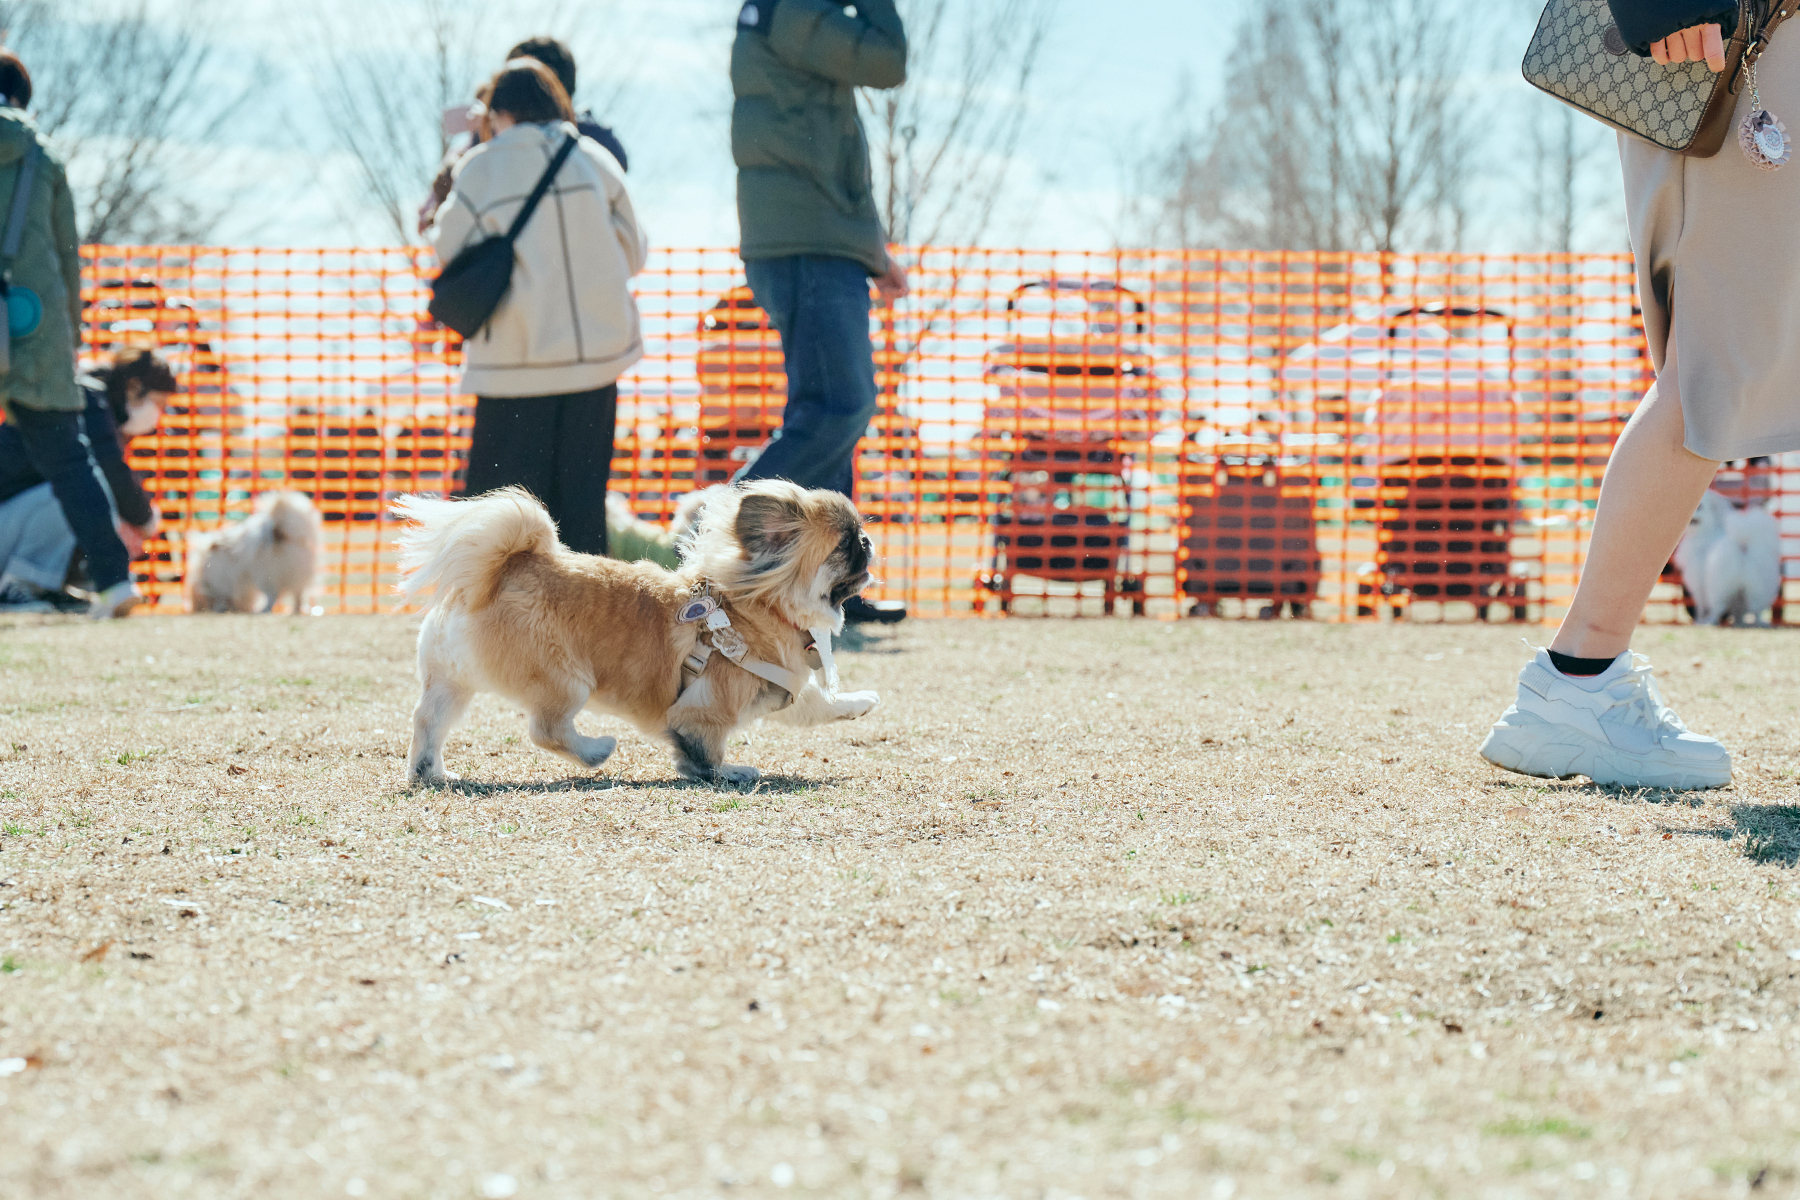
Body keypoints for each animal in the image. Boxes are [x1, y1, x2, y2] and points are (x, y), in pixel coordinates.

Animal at [186, 492, 324, 615]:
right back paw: (296, 610)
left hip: (263, 577)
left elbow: (223, 596)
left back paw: (263, 610)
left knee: (272, 596)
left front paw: (221, 607)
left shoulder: (226, 581)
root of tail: (281, 530)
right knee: (298, 595)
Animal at [394, 478, 878, 788]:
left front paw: (860, 703)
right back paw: (597, 751)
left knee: (427, 722)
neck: (759, 603)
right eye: (843, 544)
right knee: (545, 730)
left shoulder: (785, 687)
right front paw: (732, 772)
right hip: (566, 682)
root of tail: (500, 571)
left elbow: (818, 705)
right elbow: (705, 753)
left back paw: (431, 773)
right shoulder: (705, 709)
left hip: (452, 684)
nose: (869, 540)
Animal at [1670, 489, 1785, 629]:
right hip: (1756, 588)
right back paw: (1755, 623)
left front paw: (1699, 620)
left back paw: (1709, 622)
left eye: (1700, 506)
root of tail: (1742, 545)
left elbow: (1700, 608)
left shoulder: (1698, 585)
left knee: (1719, 607)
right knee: (1756, 609)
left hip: (1716, 589)